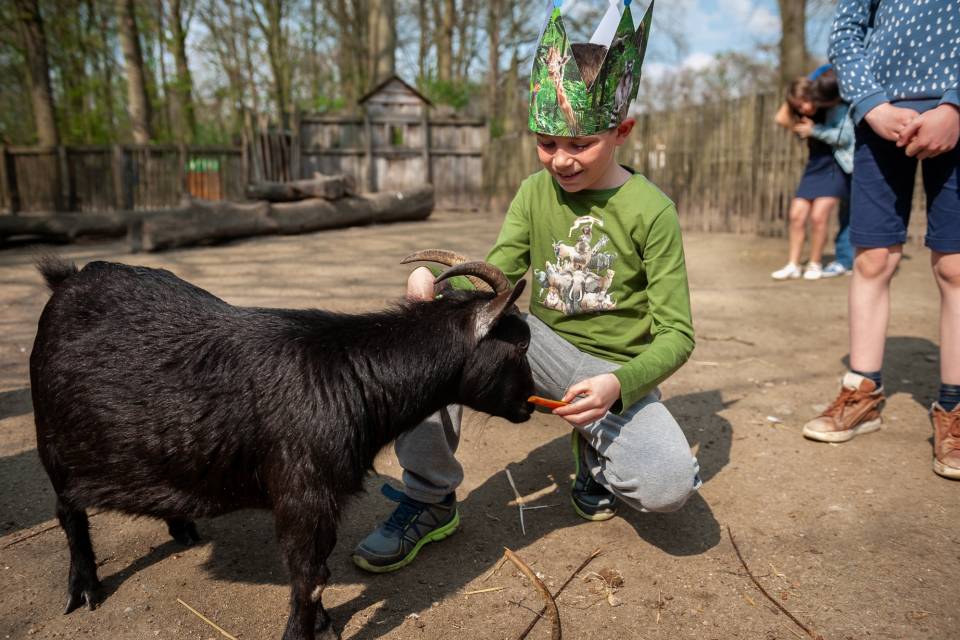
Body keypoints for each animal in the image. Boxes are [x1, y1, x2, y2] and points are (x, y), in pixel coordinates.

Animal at [30, 251, 532, 640]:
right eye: (522, 347)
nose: (530, 406)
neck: (353, 376)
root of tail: (68, 279)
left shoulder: (323, 501)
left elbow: (319, 570)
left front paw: (325, 624)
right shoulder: (303, 494)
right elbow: (308, 577)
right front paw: (304, 632)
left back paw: (182, 527)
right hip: (52, 440)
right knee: (68, 512)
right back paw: (84, 588)